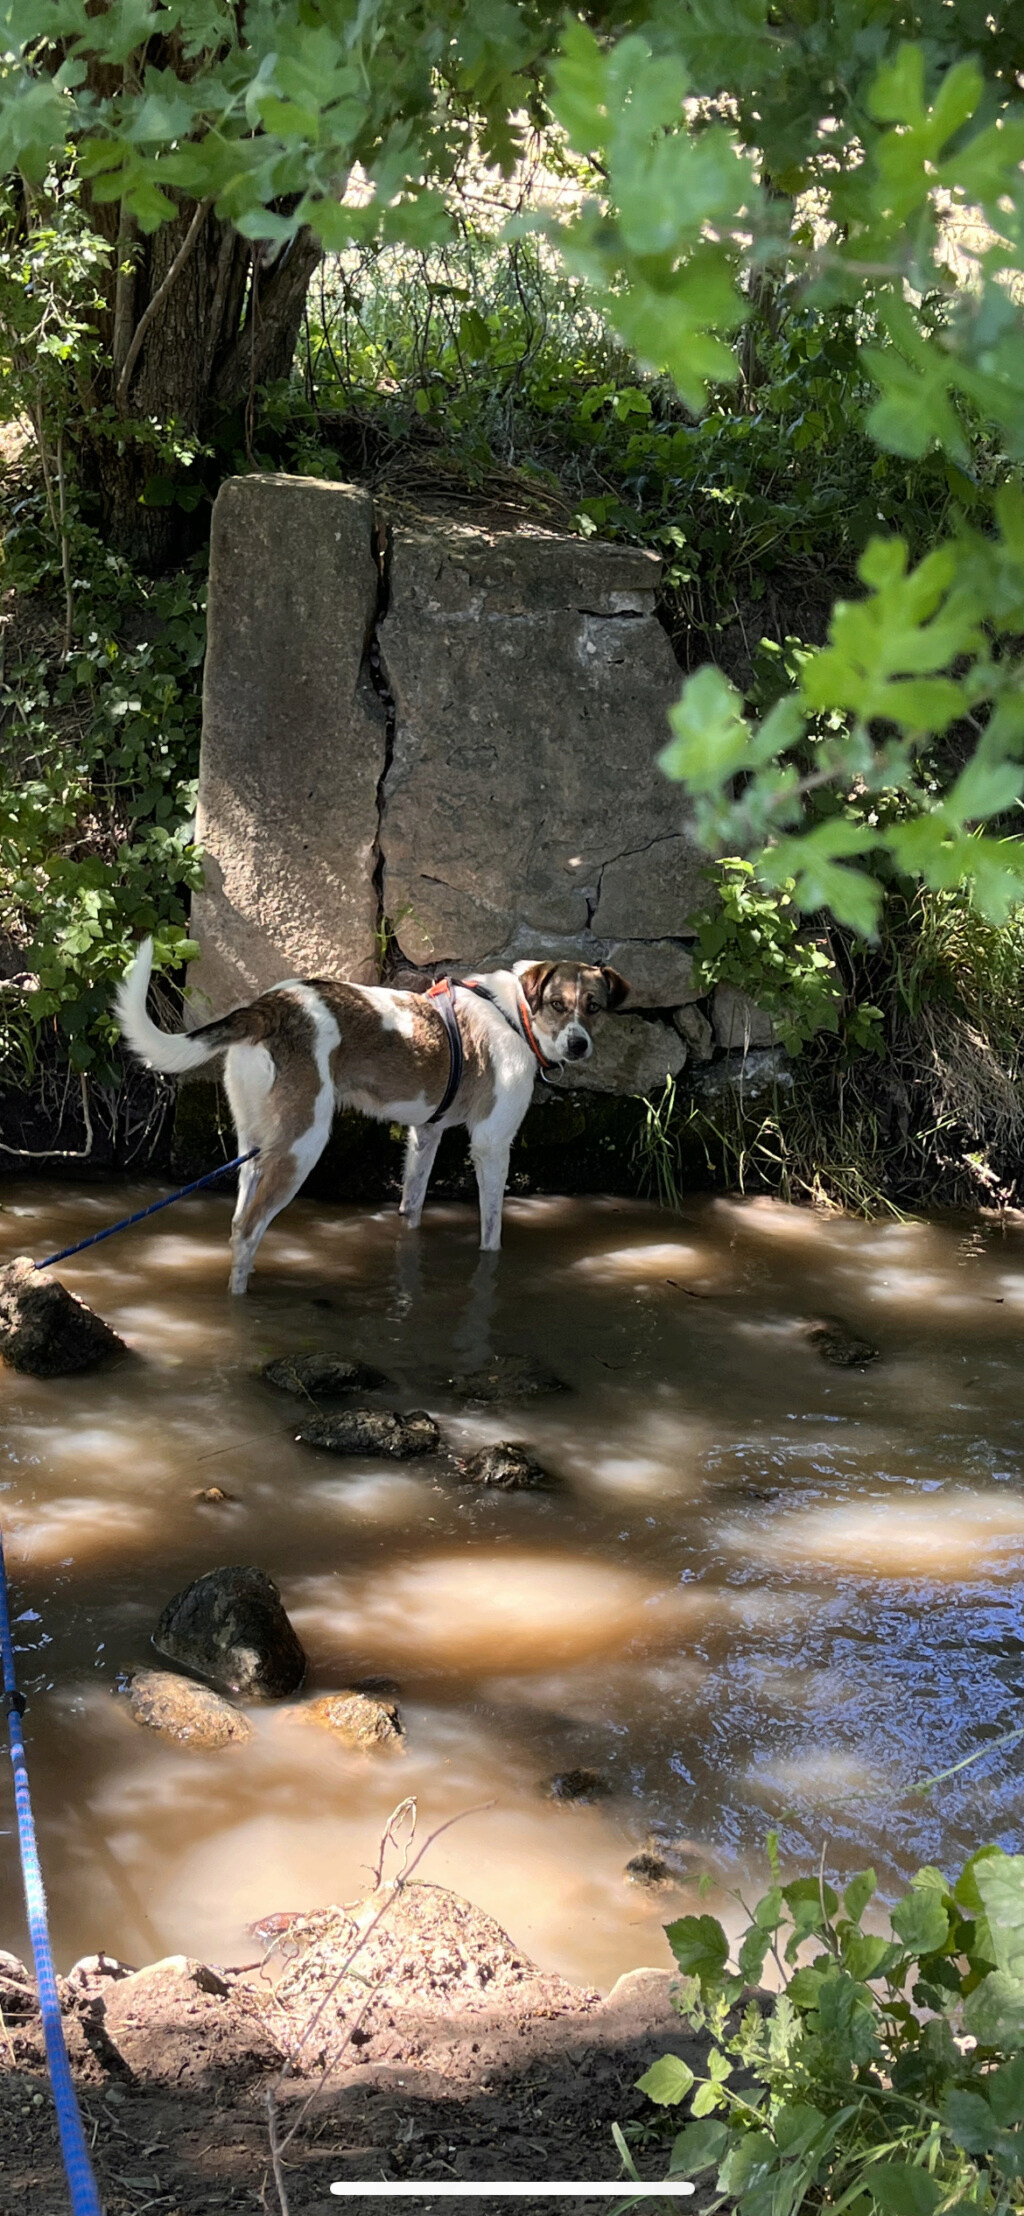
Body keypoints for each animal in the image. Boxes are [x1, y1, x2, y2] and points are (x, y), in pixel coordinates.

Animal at [115, 939, 629, 1294]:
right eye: (558, 1005)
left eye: (594, 1007)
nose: (578, 1045)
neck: (515, 1013)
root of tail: (270, 1006)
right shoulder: (491, 1144)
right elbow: (492, 1233)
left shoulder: (426, 1134)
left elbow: (411, 1207)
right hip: (302, 1144)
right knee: (246, 1229)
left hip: (254, 1145)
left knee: (242, 1217)